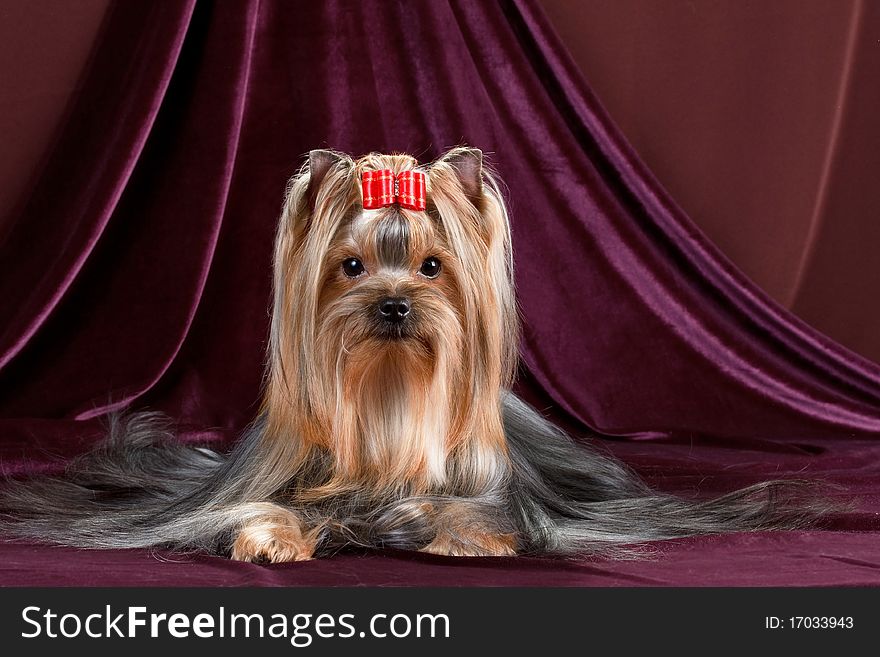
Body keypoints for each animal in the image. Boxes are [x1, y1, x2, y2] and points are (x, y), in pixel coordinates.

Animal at [0, 147, 824, 560]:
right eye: (351, 265)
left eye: (431, 266)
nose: (394, 303)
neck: (388, 391)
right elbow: (257, 507)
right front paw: (272, 538)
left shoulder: (494, 495)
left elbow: (473, 511)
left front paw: (453, 534)